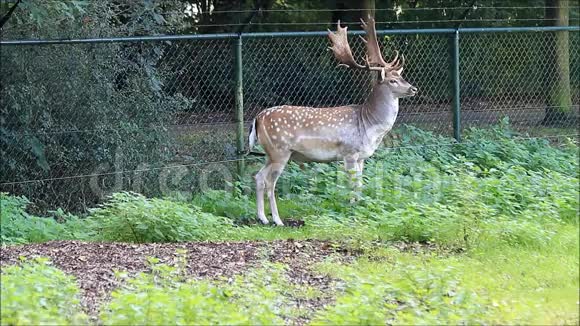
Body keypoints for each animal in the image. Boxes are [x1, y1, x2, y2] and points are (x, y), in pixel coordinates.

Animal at [248, 16, 416, 225]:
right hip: (280, 151)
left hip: (269, 153)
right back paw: (278, 220)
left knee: (258, 176)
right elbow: (352, 184)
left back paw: (262, 218)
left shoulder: (362, 157)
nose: (413, 88)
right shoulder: (349, 152)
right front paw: (352, 209)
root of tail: (257, 118)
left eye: (401, 76)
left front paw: (360, 206)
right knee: (270, 181)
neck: (368, 125)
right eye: (392, 80)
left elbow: (360, 184)